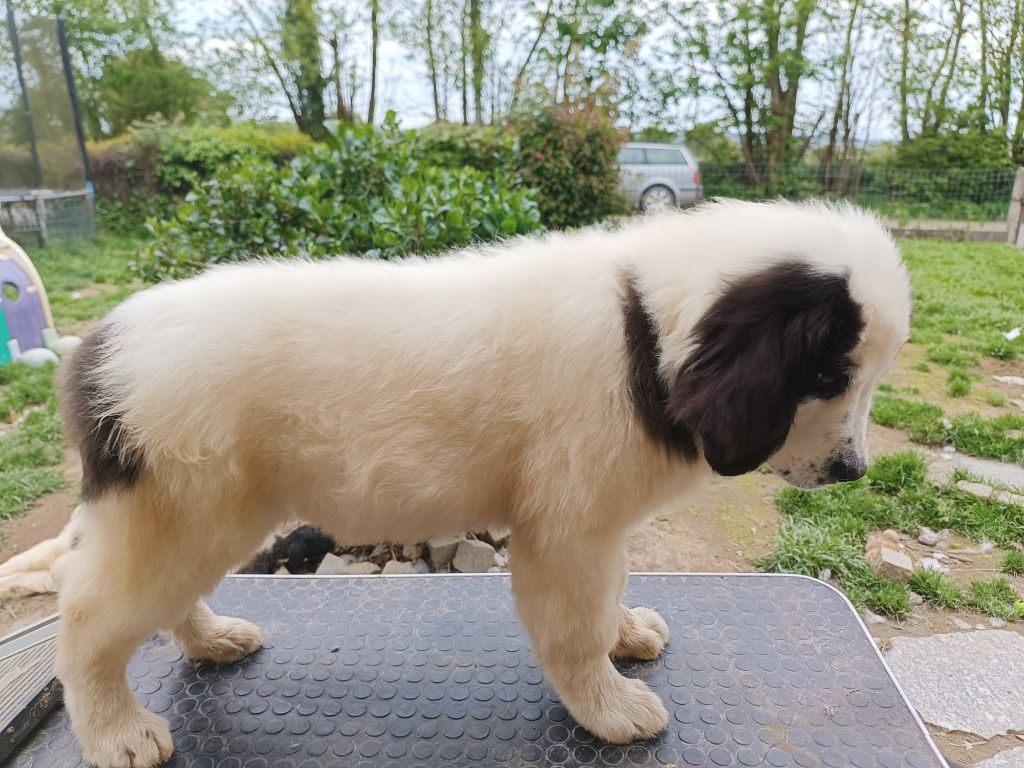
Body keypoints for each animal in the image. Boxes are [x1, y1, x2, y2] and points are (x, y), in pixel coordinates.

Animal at [56, 200, 911, 767]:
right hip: (186, 510)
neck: (641, 329)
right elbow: (574, 629)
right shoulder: (568, 530)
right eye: (828, 376)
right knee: (93, 620)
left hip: (192, 515)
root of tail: (101, 344)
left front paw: (626, 632)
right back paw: (117, 730)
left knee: (163, 599)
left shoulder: (597, 529)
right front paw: (608, 707)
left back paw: (210, 639)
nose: (853, 472)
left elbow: (607, 597)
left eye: (866, 378)